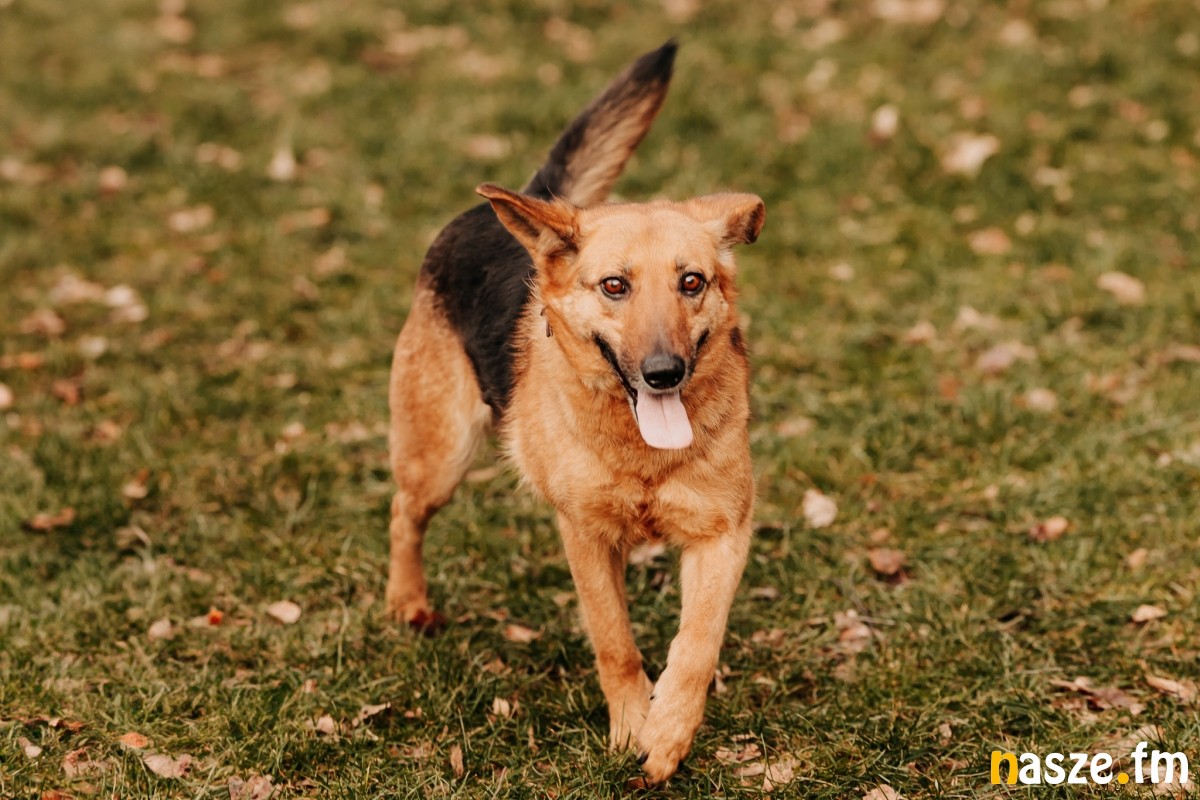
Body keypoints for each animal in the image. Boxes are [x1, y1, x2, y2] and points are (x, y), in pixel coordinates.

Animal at [385, 41, 764, 784]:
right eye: (614, 286)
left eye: (692, 282)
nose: (664, 373)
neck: (639, 451)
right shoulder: (586, 536)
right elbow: (614, 641)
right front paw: (631, 727)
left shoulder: (722, 533)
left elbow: (697, 644)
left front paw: (668, 731)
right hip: (440, 454)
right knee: (403, 514)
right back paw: (407, 601)